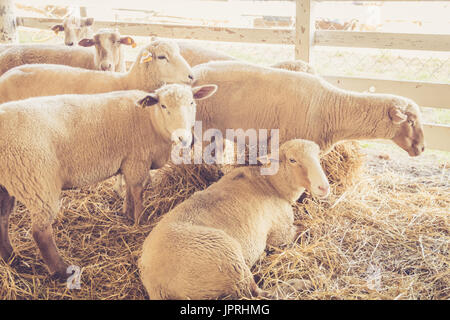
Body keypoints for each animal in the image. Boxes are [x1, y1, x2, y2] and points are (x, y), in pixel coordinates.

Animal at [0, 82, 218, 278]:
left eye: (192, 102)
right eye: (163, 105)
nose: (184, 138)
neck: (150, 119)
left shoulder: (129, 160)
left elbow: (129, 189)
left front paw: (128, 213)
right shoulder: (137, 158)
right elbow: (138, 190)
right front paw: (141, 220)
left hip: (8, 185)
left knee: (3, 219)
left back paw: (14, 260)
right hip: (36, 181)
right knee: (41, 232)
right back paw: (61, 271)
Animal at [139, 139, 328, 298]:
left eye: (318, 155)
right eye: (292, 160)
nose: (324, 187)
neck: (272, 184)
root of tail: (156, 286)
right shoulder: (280, 233)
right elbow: (307, 228)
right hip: (227, 258)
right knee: (256, 293)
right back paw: (303, 283)